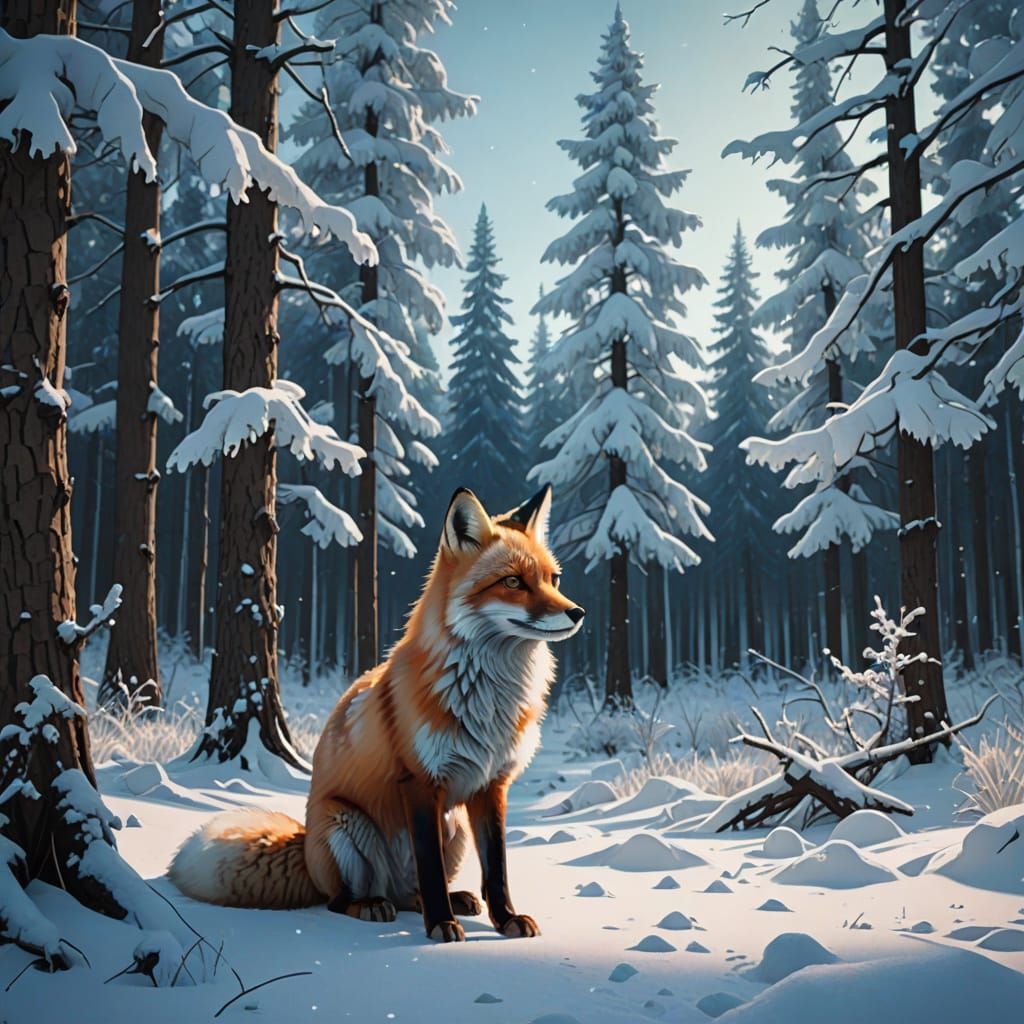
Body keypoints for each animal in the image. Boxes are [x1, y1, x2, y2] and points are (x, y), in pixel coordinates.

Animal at [169, 485, 585, 942]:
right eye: (513, 581)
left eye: (553, 579)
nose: (577, 612)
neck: (488, 699)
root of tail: (305, 844)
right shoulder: (419, 781)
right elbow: (430, 867)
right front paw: (441, 926)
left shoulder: (492, 785)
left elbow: (497, 869)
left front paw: (506, 918)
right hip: (346, 824)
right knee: (340, 901)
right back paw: (371, 905)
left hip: (453, 826)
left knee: (411, 892)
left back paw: (446, 900)